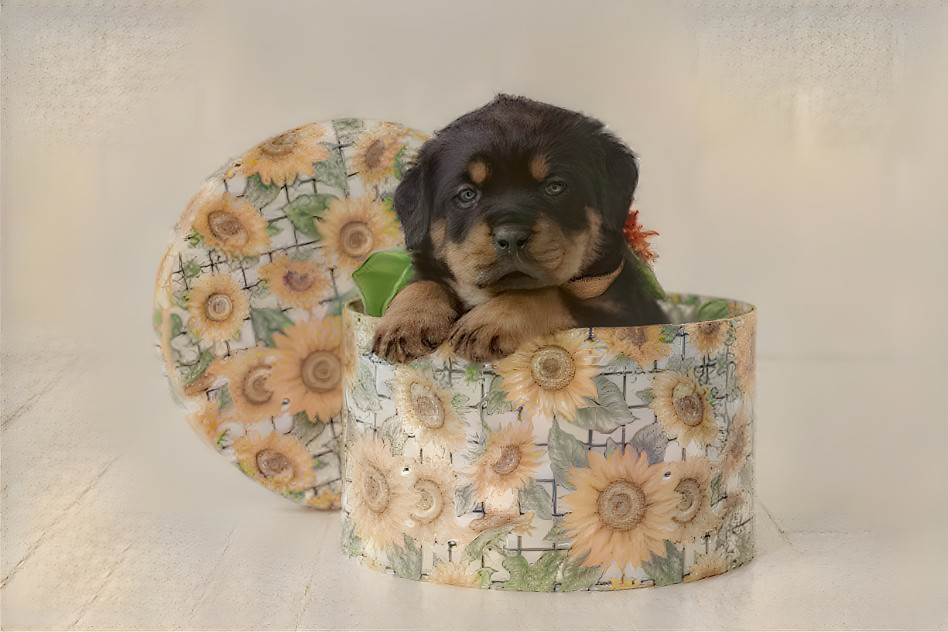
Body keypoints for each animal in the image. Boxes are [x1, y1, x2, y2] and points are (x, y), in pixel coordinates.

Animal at [372, 92, 668, 362]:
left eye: (555, 187)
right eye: (467, 194)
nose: (511, 237)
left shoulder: (621, 313)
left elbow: (546, 292)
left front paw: (489, 320)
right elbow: (423, 283)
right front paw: (406, 322)